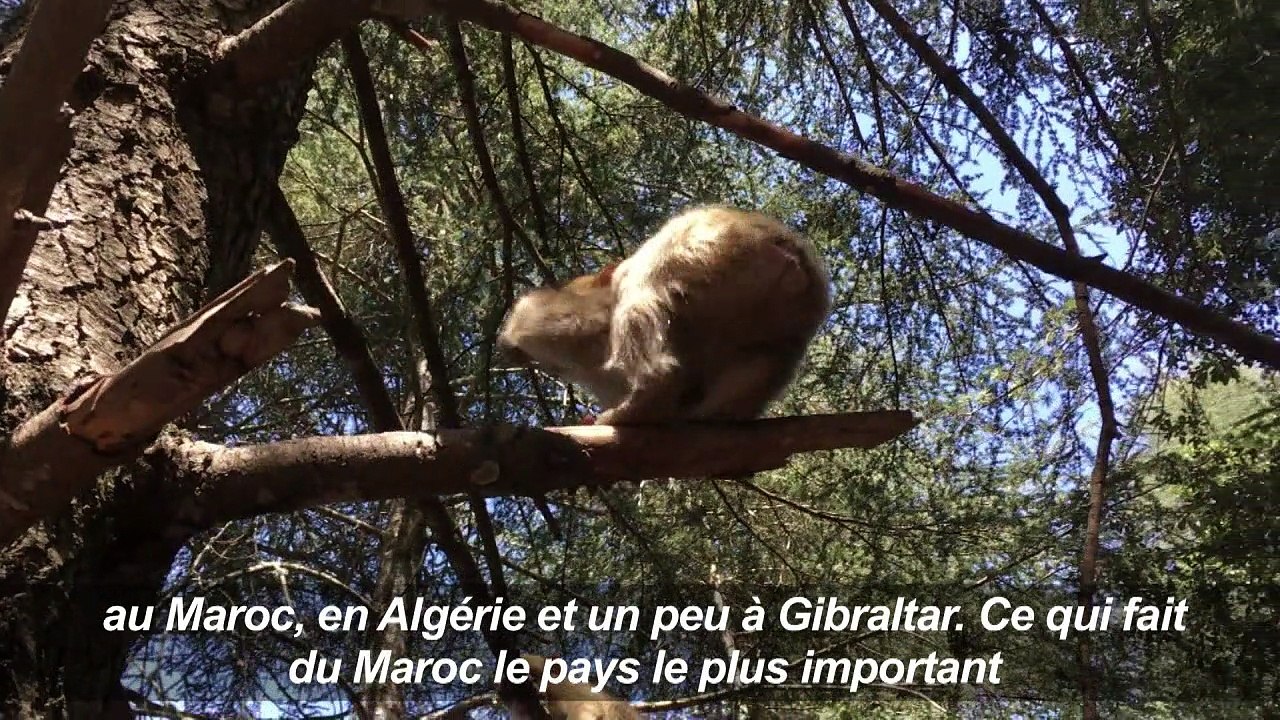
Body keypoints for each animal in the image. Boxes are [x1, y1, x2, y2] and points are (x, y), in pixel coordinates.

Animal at [498, 204, 831, 425]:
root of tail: (791, 255)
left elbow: (541, 320)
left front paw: (514, 340)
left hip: (715, 247)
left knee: (642, 291)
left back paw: (644, 400)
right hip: (784, 319)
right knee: (766, 359)